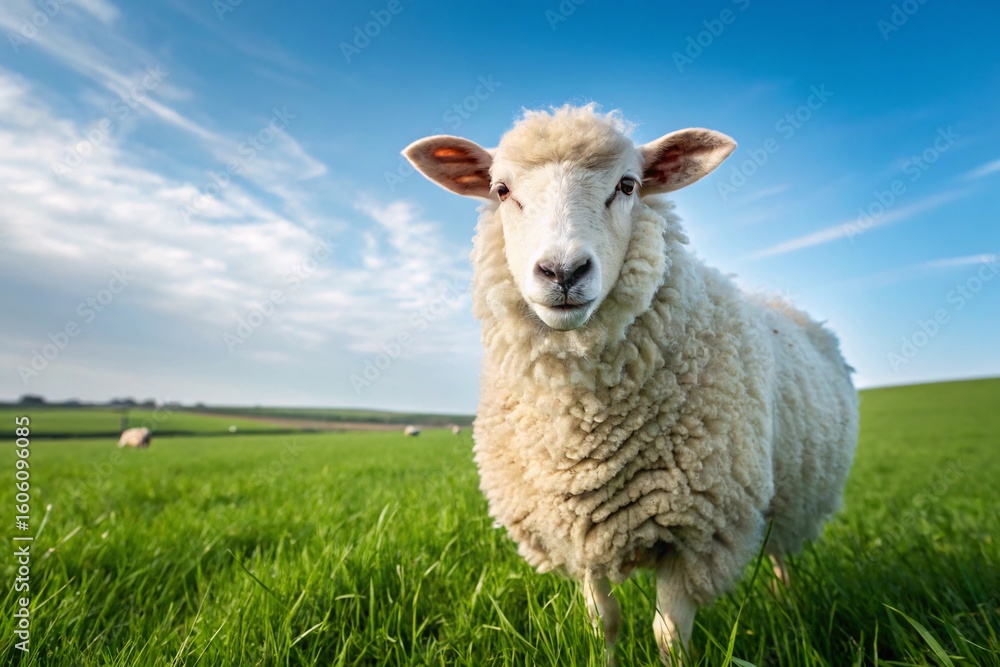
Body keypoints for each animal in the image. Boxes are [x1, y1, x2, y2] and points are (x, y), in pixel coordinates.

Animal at [403, 104, 858, 664]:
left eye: (627, 185)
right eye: (502, 190)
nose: (562, 272)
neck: (584, 430)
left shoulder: (695, 531)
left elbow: (670, 636)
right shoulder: (575, 526)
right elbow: (604, 623)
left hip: (791, 500)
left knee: (779, 556)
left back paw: (786, 605)